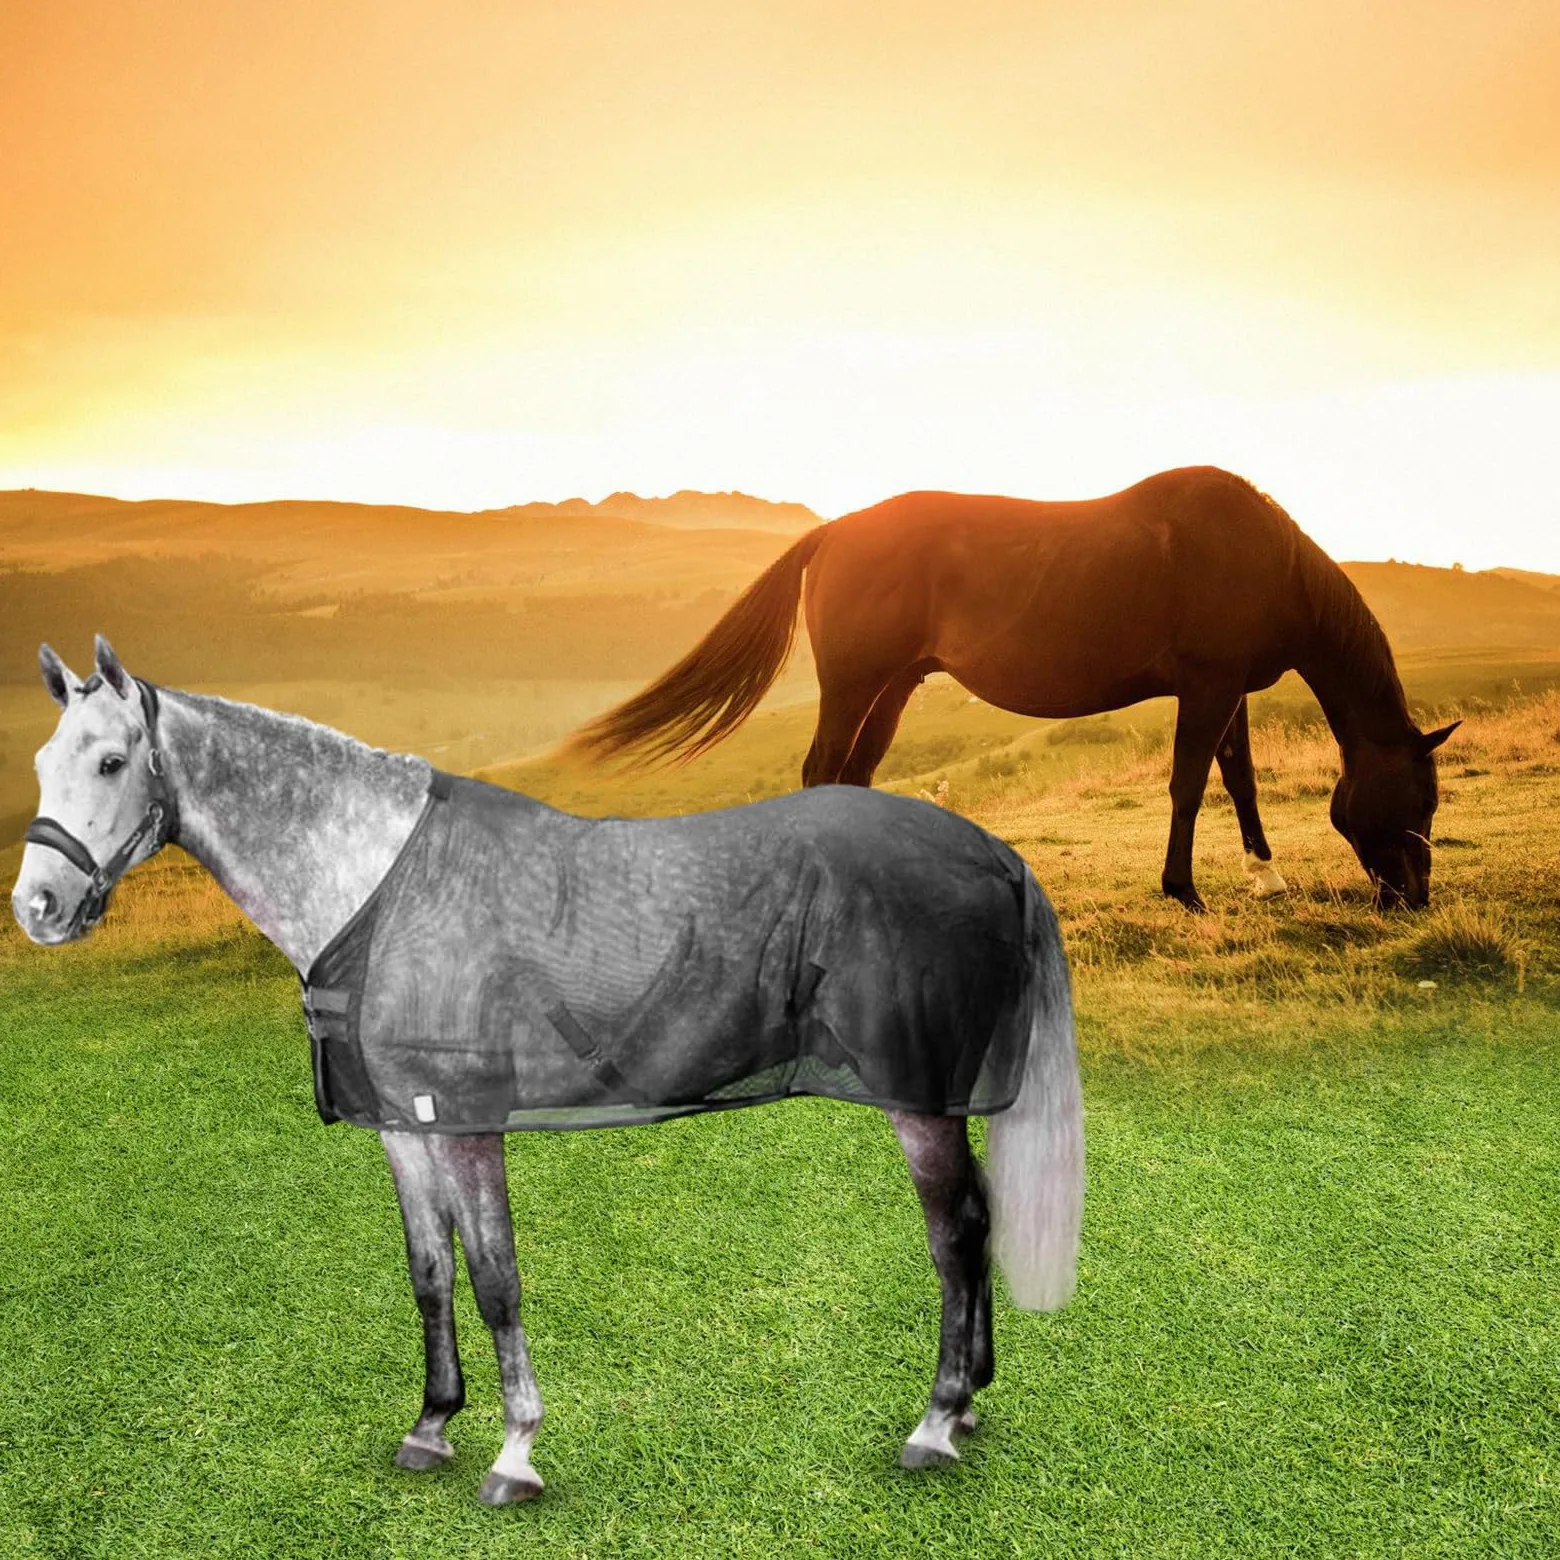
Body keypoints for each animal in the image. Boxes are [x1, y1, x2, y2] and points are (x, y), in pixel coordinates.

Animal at [12, 637, 1084, 1506]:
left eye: (111, 761)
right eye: (40, 762)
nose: (38, 907)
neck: (381, 888)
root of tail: (992, 851)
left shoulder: (467, 1119)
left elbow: (496, 1277)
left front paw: (514, 1452)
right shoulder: (406, 1125)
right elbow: (430, 1273)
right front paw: (431, 1427)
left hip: (920, 1099)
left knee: (956, 1235)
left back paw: (936, 1423)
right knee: (978, 1221)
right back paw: (970, 1407)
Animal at [571, 466, 1460, 911]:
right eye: (1420, 799)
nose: (1414, 897)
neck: (1259, 556)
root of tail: (835, 529)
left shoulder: (1230, 687)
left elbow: (1237, 778)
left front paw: (1265, 879)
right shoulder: (1208, 687)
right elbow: (1187, 784)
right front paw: (1185, 891)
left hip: (893, 688)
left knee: (852, 776)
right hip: (856, 683)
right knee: (822, 771)